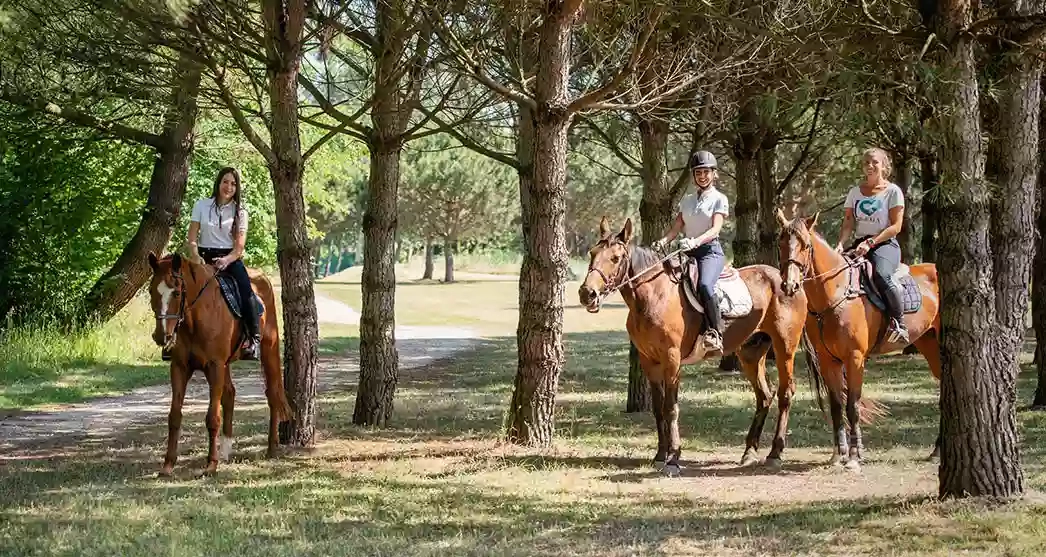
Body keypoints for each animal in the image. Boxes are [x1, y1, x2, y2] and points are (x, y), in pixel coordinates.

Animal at [145, 249, 288, 476]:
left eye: (176, 292)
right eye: (152, 291)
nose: (162, 336)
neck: (195, 318)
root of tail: (261, 278)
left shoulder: (214, 366)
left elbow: (212, 417)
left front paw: (210, 465)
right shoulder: (179, 367)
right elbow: (174, 416)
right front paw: (168, 465)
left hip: (268, 349)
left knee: (272, 393)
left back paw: (272, 447)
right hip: (225, 365)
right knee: (230, 394)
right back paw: (226, 450)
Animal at [581, 217, 807, 474]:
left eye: (616, 258)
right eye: (592, 253)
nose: (587, 294)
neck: (654, 295)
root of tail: (788, 281)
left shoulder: (672, 360)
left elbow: (671, 407)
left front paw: (673, 458)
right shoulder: (649, 360)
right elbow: (658, 408)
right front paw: (660, 455)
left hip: (784, 348)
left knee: (785, 393)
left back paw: (775, 453)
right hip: (751, 352)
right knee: (765, 395)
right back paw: (749, 452)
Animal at [774, 210, 945, 468]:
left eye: (805, 245)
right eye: (781, 242)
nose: (789, 284)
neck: (836, 293)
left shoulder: (855, 358)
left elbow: (852, 404)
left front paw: (854, 456)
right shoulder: (828, 360)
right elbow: (836, 405)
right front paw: (838, 454)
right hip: (929, 344)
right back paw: (937, 450)